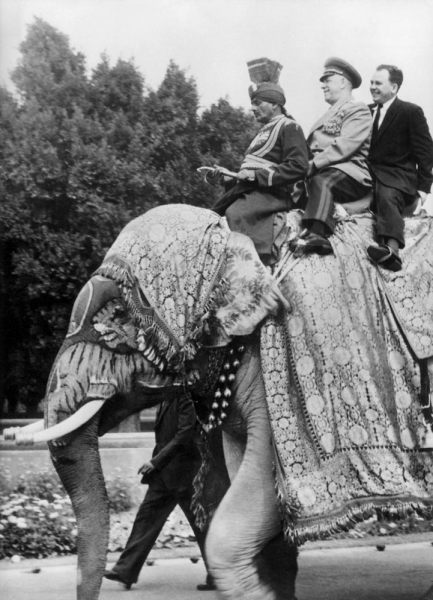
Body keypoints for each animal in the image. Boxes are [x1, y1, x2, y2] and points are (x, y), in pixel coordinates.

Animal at [5, 203, 432, 600]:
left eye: (117, 319)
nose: (11, 434)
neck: (239, 244)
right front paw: (270, 587)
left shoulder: (273, 376)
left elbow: (249, 505)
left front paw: (253, 591)